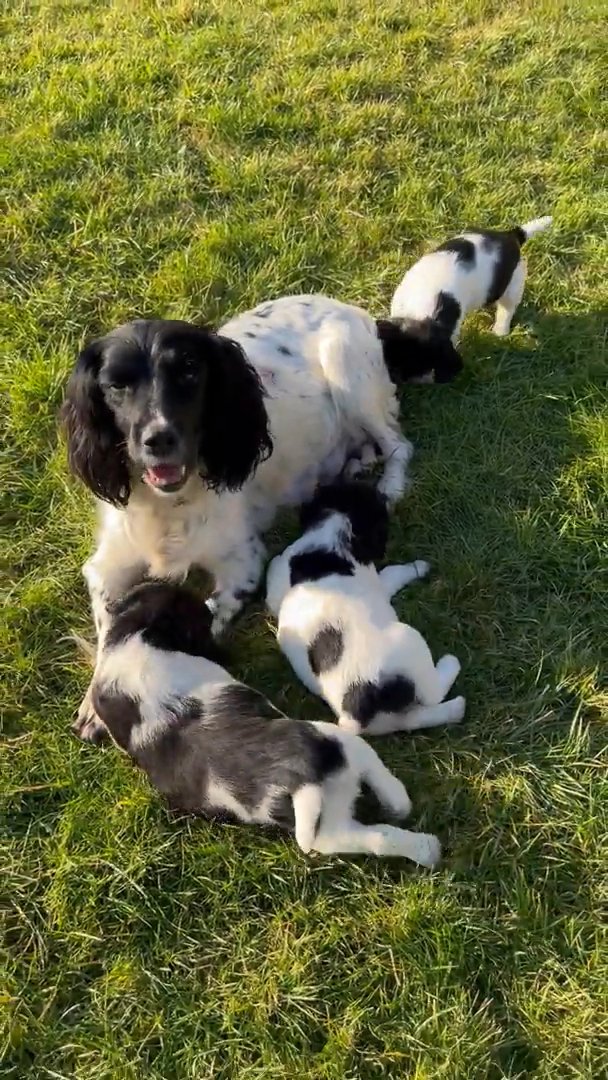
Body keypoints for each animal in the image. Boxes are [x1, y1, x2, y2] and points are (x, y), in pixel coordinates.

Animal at [89, 578, 442, 864]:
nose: (211, 605)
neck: (128, 636)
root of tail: (299, 781)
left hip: (326, 821)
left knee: (375, 835)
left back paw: (416, 838)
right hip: (335, 742)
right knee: (377, 780)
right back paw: (417, 828)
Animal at [267, 479, 466, 734]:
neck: (328, 536)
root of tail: (358, 708)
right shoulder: (378, 581)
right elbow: (392, 572)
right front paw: (418, 567)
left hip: (384, 718)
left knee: (412, 719)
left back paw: (456, 708)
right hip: (409, 642)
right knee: (432, 695)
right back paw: (450, 665)